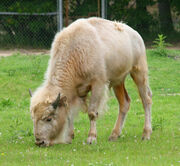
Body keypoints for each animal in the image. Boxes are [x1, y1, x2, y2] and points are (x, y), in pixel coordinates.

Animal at [29, 17, 152, 147]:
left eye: (49, 118)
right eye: (33, 118)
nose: (39, 141)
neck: (76, 52)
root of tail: (136, 34)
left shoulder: (97, 84)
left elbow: (92, 112)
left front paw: (91, 138)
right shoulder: (74, 93)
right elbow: (70, 113)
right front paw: (69, 137)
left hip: (139, 72)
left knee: (146, 100)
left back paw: (146, 134)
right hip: (118, 81)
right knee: (124, 103)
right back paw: (114, 135)